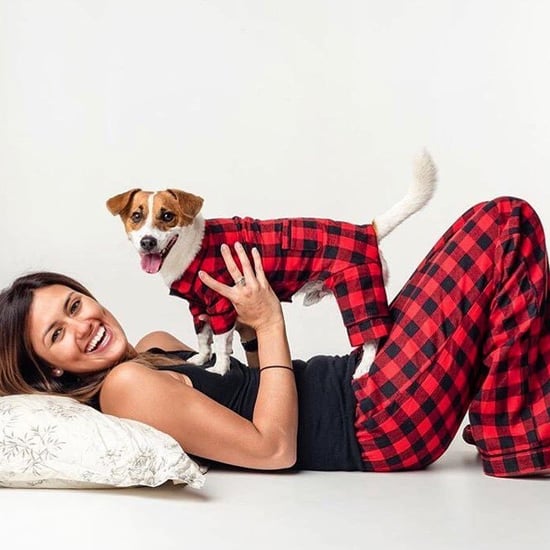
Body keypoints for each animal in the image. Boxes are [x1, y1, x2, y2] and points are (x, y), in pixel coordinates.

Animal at [106, 152, 436, 380]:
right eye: (137, 216)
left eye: (167, 216)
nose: (148, 242)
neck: (192, 247)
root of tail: (367, 229)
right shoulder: (198, 307)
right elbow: (203, 337)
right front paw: (200, 359)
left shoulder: (222, 304)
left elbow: (222, 343)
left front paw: (219, 369)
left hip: (359, 291)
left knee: (370, 336)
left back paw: (363, 368)